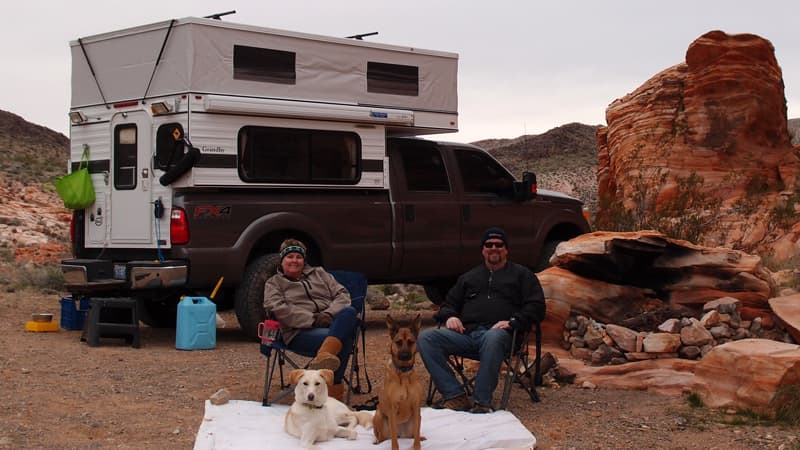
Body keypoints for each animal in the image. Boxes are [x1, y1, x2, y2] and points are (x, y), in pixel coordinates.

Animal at [374, 312, 424, 450]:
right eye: (398, 342)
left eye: (411, 342)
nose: (405, 356)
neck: (404, 374)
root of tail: (403, 435)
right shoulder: (393, 409)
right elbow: (394, 439)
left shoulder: (416, 406)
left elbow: (416, 436)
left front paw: (417, 446)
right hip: (378, 415)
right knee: (384, 437)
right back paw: (377, 442)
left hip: (417, 418)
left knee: (414, 434)